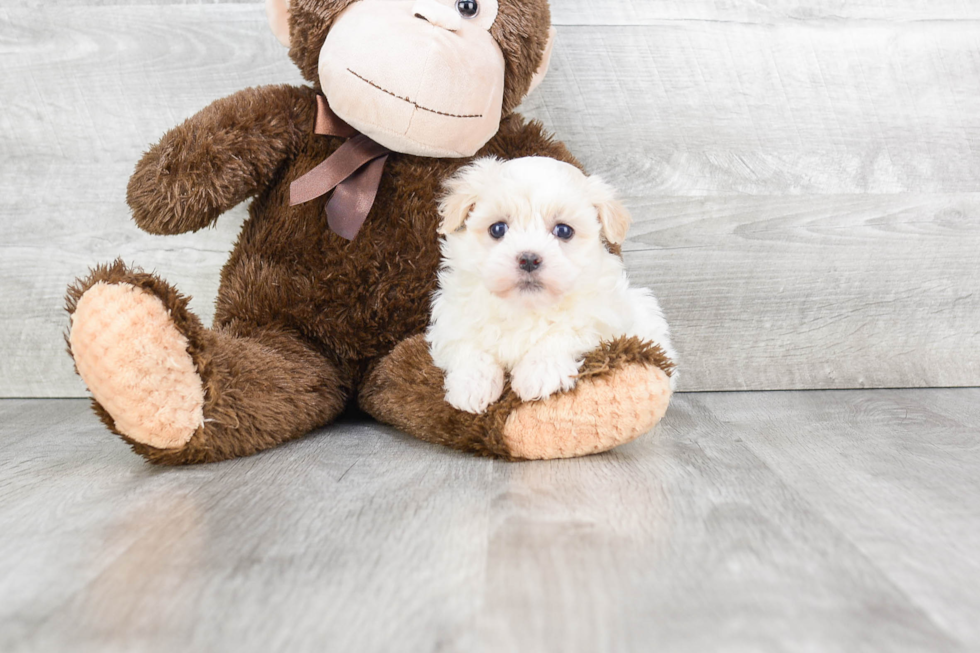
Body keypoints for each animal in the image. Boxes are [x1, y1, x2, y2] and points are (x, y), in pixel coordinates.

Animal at [424, 155, 676, 412]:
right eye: (498, 229)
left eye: (563, 231)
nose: (528, 259)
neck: (525, 307)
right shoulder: (452, 318)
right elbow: (467, 344)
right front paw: (472, 385)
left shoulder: (599, 318)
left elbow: (562, 334)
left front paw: (537, 374)